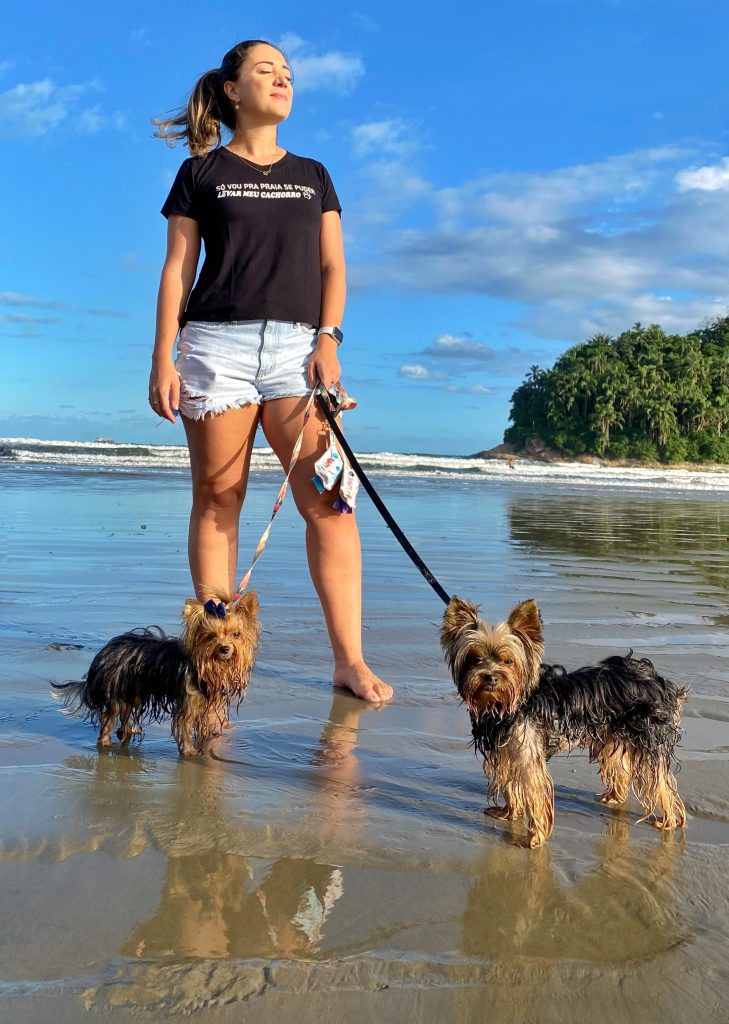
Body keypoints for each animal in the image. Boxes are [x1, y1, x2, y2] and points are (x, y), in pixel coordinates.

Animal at [49, 593, 259, 753]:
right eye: (211, 636)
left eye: (236, 634)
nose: (225, 648)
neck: (210, 665)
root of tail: (102, 655)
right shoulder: (189, 701)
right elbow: (185, 724)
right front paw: (189, 751)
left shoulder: (205, 701)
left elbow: (201, 722)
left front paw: (205, 739)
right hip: (115, 690)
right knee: (108, 718)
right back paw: (107, 742)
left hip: (131, 693)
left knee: (123, 715)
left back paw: (127, 732)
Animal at [442, 593, 688, 847]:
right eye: (475, 659)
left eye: (508, 661)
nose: (490, 677)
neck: (504, 705)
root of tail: (659, 682)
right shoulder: (506, 750)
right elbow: (511, 784)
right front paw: (508, 813)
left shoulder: (527, 751)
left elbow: (535, 793)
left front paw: (534, 837)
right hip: (614, 735)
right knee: (620, 766)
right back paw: (614, 797)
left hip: (650, 738)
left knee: (661, 782)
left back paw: (668, 821)